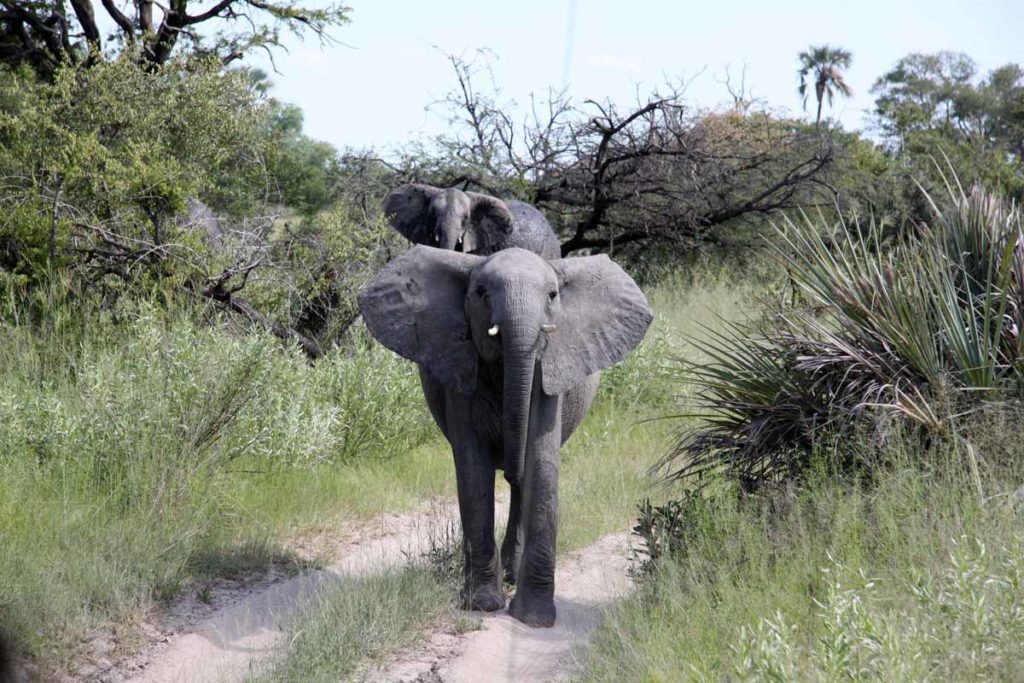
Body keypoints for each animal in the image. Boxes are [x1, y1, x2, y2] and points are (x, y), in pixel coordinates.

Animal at [356, 244, 651, 626]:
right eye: (481, 293)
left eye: (552, 295)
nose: (510, 466)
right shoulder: (460, 366)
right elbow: (473, 472)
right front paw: (482, 604)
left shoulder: (549, 370)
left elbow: (541, 461)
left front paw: (534, 619)